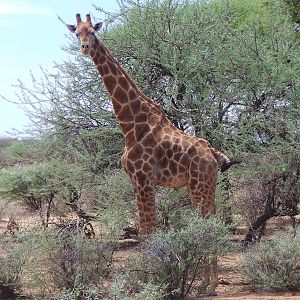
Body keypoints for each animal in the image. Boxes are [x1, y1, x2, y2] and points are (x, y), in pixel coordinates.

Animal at [67, 14, 240, 292]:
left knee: (207, 222)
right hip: (207, 185)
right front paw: (153, 278)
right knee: (211, 220)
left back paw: (208, 284)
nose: (84, 48)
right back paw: (207, 282)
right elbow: (145, 229)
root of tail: (213, 154)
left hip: (198, 186)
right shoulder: (136, 181)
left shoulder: (144, 179)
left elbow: (148, 230)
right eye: (76, 33)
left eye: (93, 32)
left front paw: (152, 281)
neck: (130, 123)